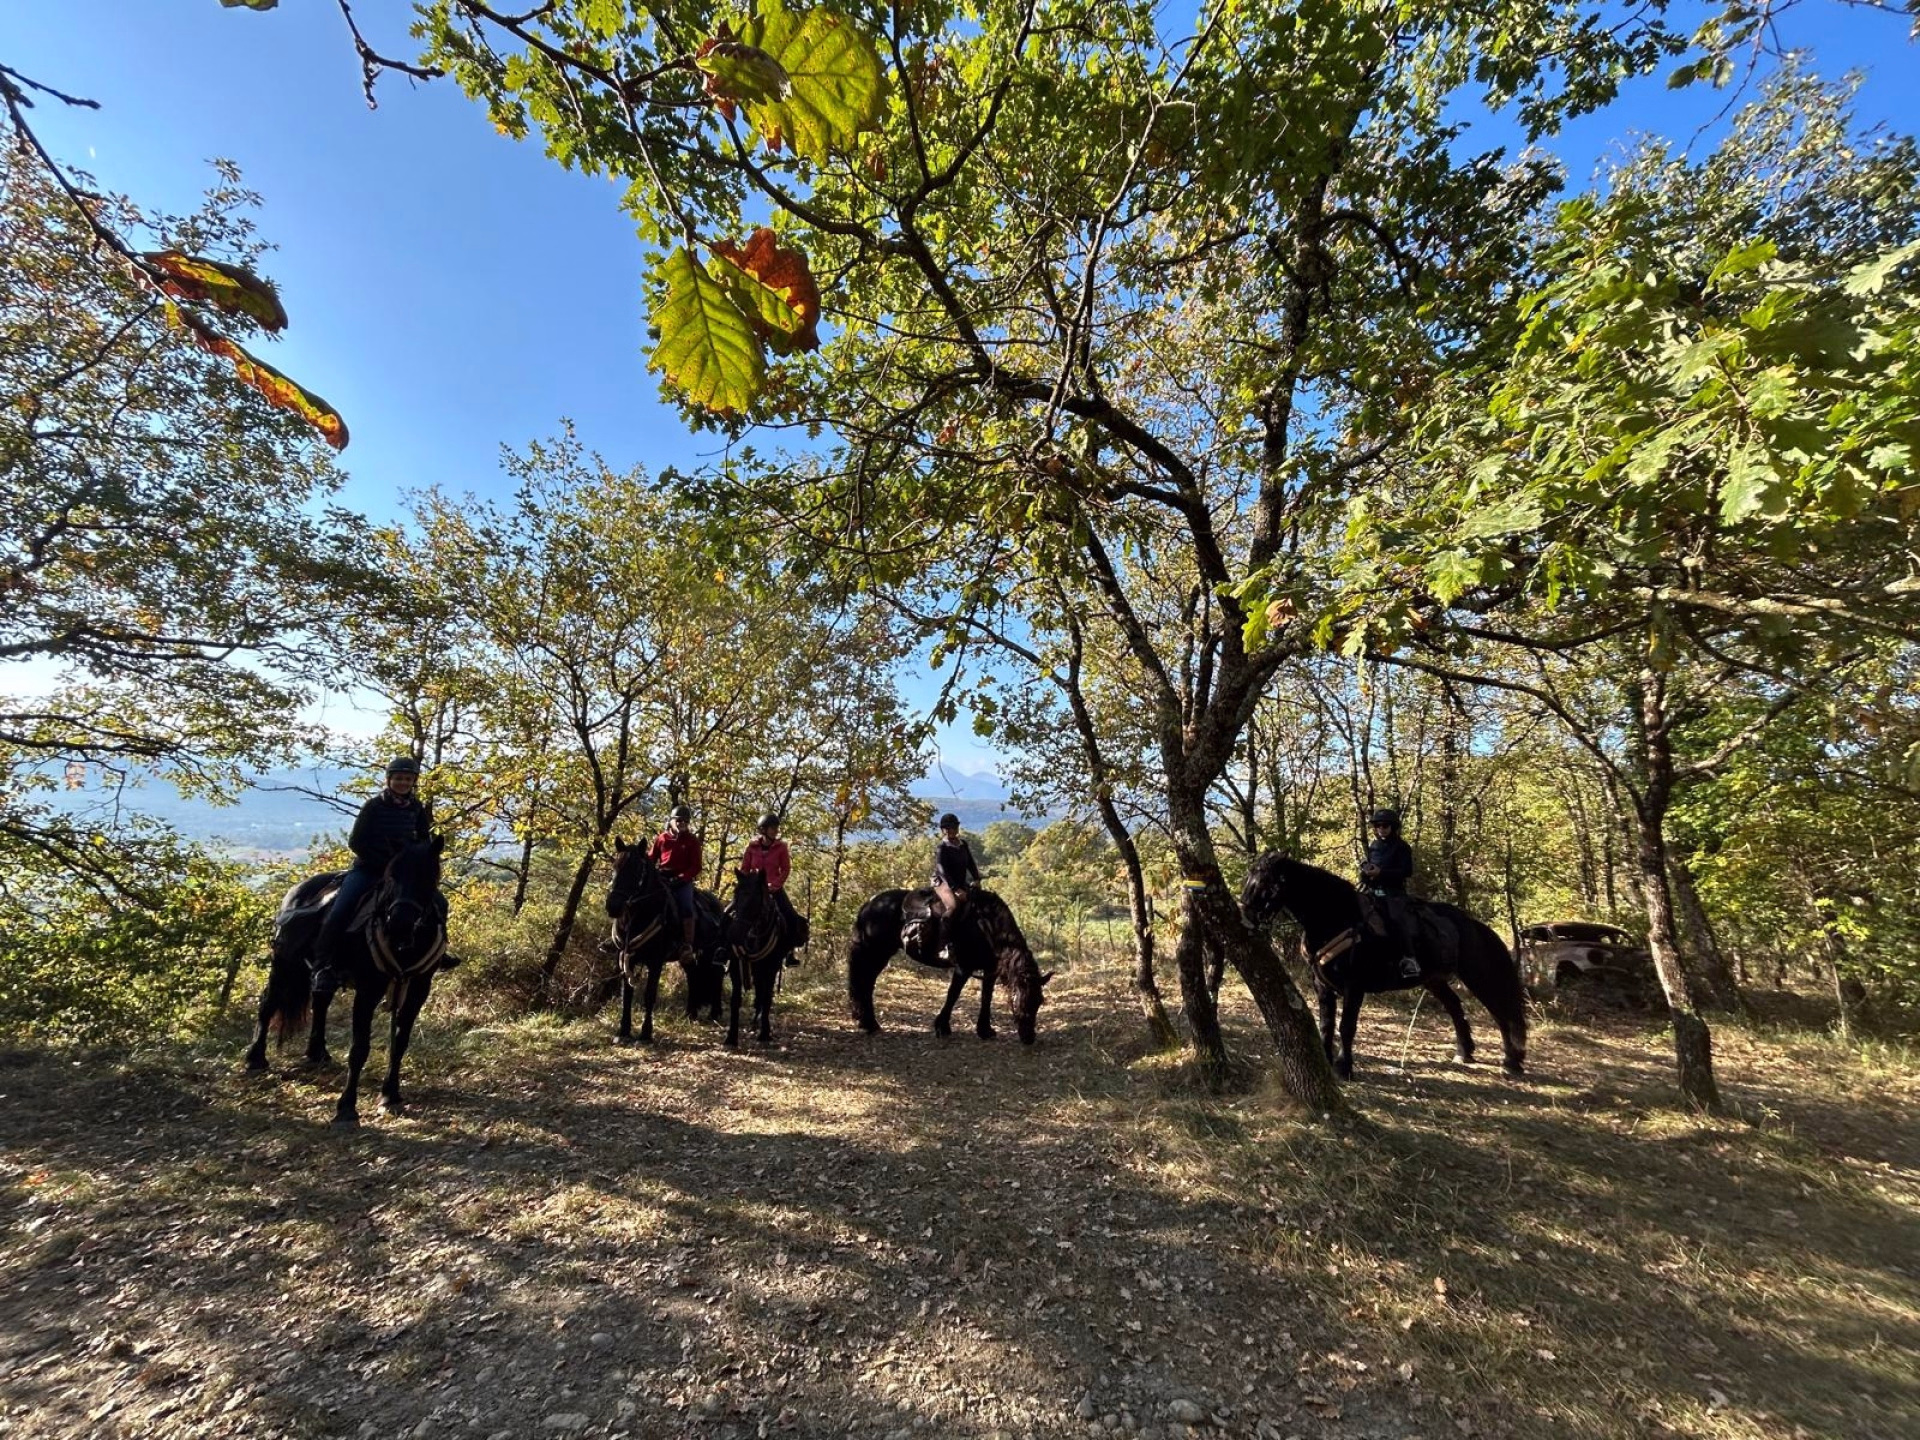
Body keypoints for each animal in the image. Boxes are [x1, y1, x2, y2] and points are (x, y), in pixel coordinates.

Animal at [244, 835, 452, 1125]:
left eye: (429, 876)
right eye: (392, 875)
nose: (399, 924)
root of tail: (297, 890)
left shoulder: (419, 990)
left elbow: (400, 1042)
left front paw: (390, 1094)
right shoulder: (367, 991)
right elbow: (359, 1048)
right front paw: (346, 1108)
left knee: (320, 1002)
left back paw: (317, 1052)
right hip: (284, 964)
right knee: (268, 1002)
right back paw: (255, 1058)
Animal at [847, 886, 1052, 1044]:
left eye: (1039, 1002)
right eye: (1020, 1000)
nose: (1029, 1038)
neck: (986, 927)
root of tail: (869, 904)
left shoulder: (989, 970)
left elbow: (986, 997)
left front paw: (985, 1030)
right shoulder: (963, 967)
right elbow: (953, 994)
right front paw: (942, 1027)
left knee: (865, 983)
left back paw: (867, 1022)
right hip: (877, 953)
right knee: (864, 983)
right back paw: (869, 1023)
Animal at [1241, 852, 1527, 1080]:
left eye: (1265, 883)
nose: (1246, 917)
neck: (1338, 917)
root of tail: (1474, 925)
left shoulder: (1354, 987)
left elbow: (1346, 1026)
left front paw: (1344, 1068)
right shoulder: (1322, 986)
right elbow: (1326, 1024)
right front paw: (1326, 1060)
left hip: (1477, 975)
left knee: (1500, 1013)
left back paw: (1511, 1062)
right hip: (1433, 979)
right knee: (1455, 1006)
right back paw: (1464, 1052)